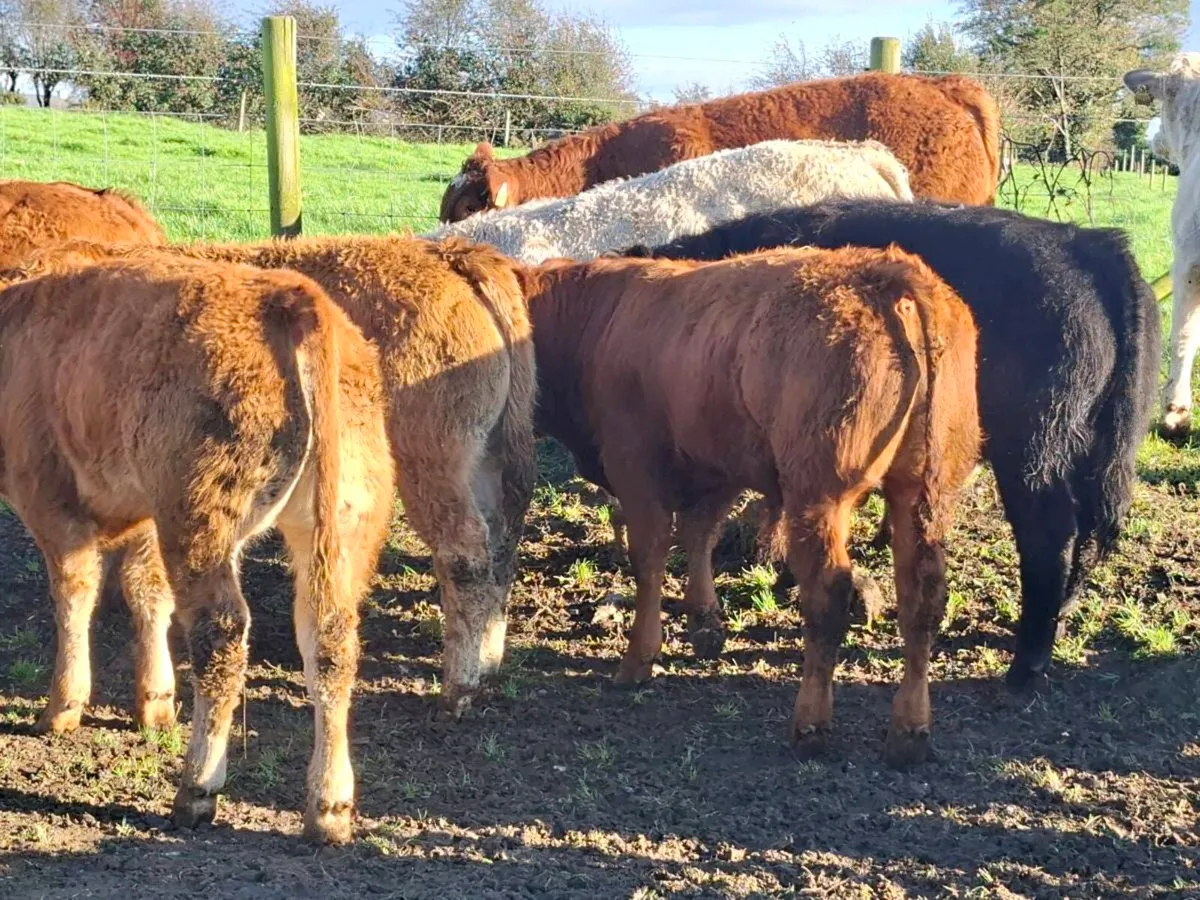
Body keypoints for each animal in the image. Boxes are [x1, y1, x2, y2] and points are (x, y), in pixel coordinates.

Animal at [0, 254, 395, 843]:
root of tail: (292, 298)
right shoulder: (146, 511)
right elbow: (147, 593)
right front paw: (155, 701)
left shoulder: (51, 499)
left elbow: (74, 595)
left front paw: (62, 708)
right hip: (342, 520)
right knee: (330, 640)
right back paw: (329, 806)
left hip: (202, 515)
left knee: (221, 636)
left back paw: (196, 789)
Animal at [8, 234, 536, 718]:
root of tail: (448, 253)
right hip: (485, 461)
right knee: (500, 545)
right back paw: (488, 656)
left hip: (433, 466)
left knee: (464, 553)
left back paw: (459, 684)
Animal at [520, 247, 981, 766]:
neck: (602, 319)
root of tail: (889, 274)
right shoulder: (715, 465)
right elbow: (699, 536)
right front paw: (705, 624)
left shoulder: (636, 467)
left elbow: (651, 558)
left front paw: (640, 657)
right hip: (922, 493)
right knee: (923, 596)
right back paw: (909, 733)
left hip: (818, 494)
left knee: (828, 594)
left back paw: (810, 726)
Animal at [623, 200, 1161, 689]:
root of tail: (1094, 246)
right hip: (1100, 452)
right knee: (1091, 536)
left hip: (1034, 451)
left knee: (1051, 537)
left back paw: (1025, 665)